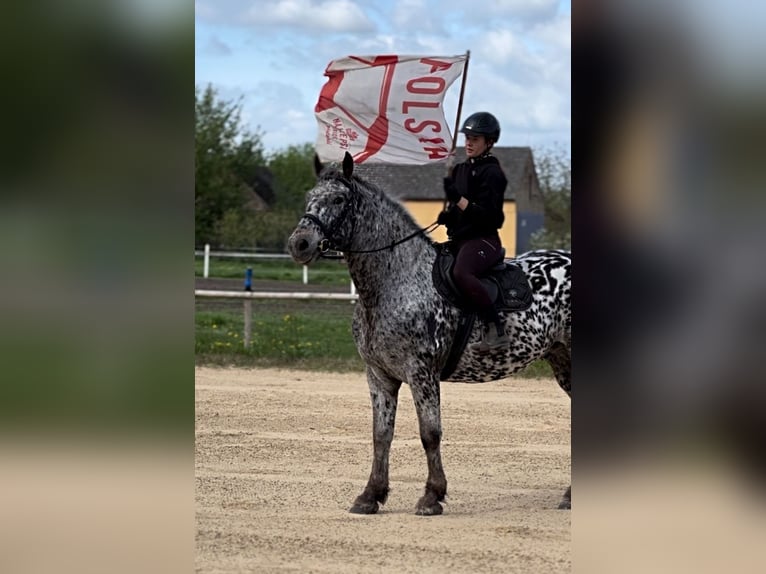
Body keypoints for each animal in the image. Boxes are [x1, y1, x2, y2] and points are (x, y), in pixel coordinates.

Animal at [288, 151, 568, 516]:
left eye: (339, 199)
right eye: (310, 197)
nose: (300, 243)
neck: (396, 281)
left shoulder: (422, 373)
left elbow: (429, 432)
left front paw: (432, 496)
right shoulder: (379, 375)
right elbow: (381, 434)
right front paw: (370, 495)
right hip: (562, 359)